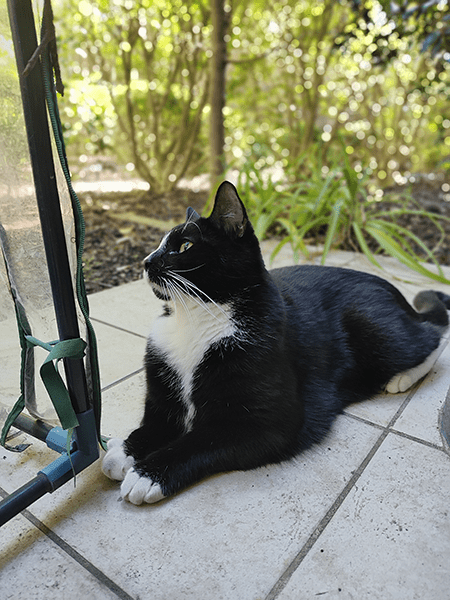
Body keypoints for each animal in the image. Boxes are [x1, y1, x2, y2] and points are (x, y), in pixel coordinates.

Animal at [103, 180, 450, 504]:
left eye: (185, 245)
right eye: (159, 245)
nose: (146, 262)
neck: (196, 317)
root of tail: (397, 295)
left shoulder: (268, 424)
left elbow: (199, 441)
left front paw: (149, 474)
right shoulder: (162, 394)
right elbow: (154, 425)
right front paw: (125, 450)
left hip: (372, 326)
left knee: (431, 335)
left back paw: (402, 378)